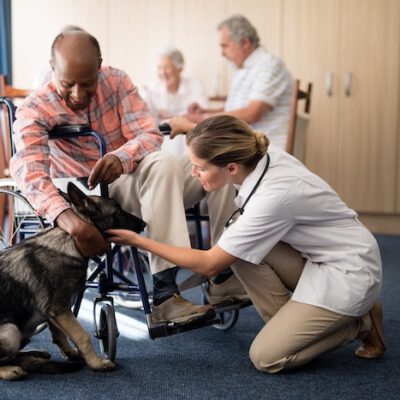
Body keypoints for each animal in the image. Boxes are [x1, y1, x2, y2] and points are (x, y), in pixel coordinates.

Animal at [0, 183, 146, 380]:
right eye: (117, 210)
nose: (144, 224)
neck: (70, 241)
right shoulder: (60, 309)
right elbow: (83, 336)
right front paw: (97, 363)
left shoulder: (55, 312)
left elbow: (61, 336)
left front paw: (72, 354)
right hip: (10, 331)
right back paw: (10, 369)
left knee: (16, 354)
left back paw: (33, 354)